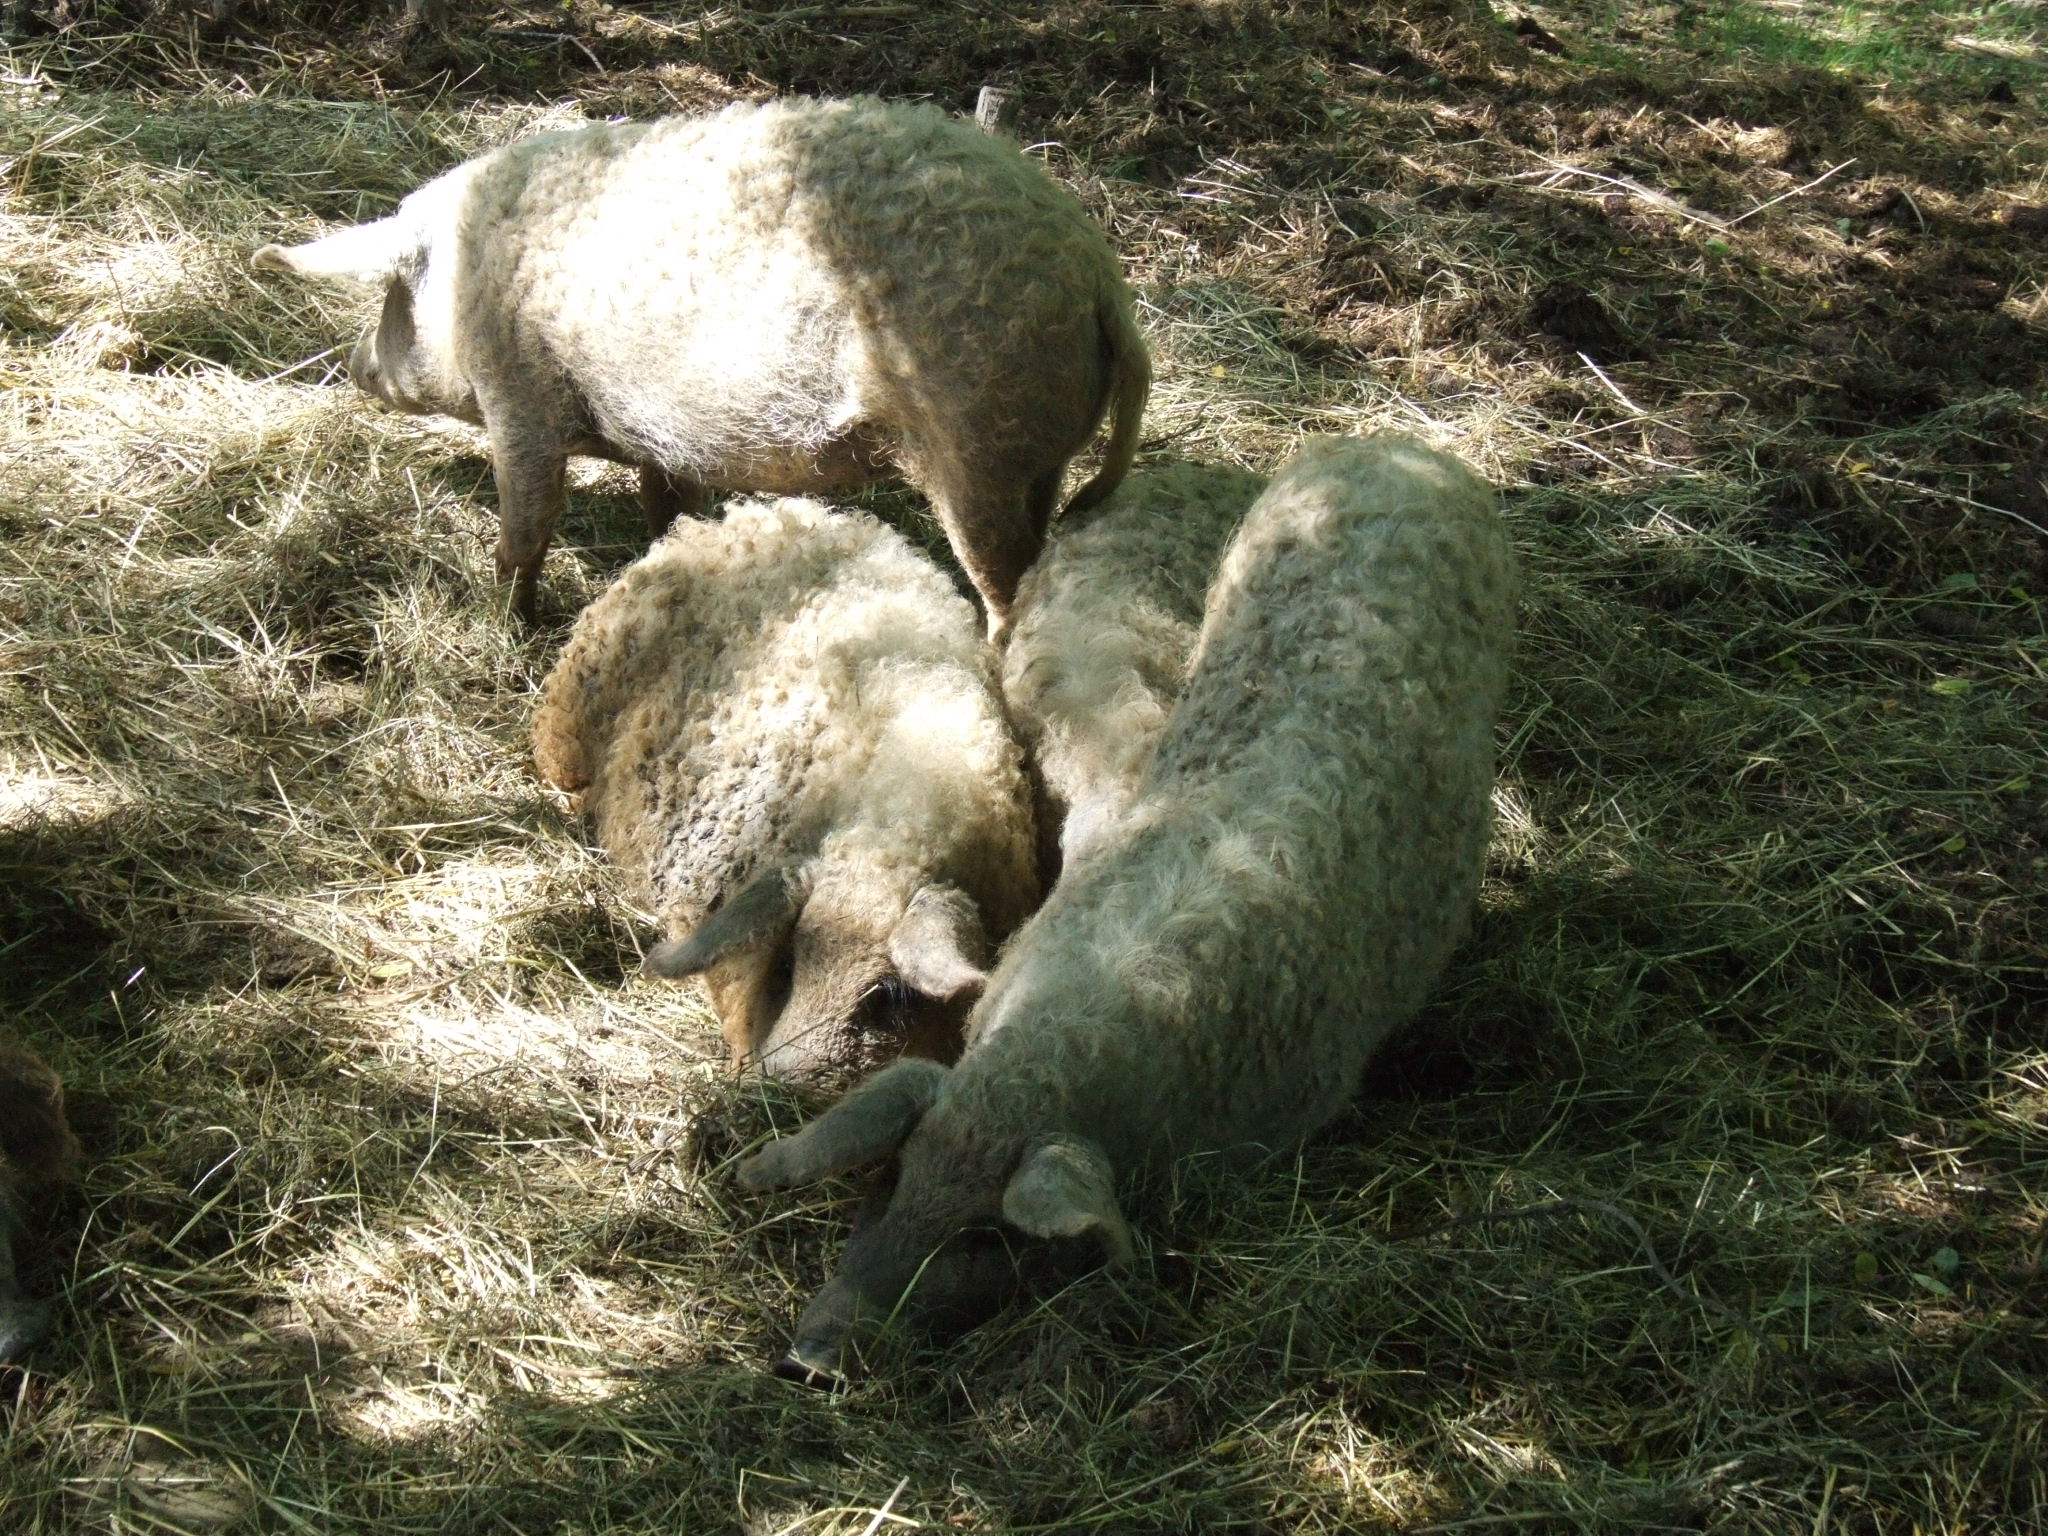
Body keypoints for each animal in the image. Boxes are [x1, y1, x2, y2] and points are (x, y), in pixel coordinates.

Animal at [253, 95, 1150, 631]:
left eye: (392, 293)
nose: (355, 365)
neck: (461, 279)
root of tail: (1098, 273)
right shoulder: (659, 437)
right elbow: (666, 510)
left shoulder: (521, 400)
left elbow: (526, 530)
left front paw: (511, 625)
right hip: (1037, 459)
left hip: (974, 447)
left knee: (1003, 586)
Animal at [531, 495, 1039, 1083]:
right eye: (791, 963)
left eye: (888, 998)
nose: (778, 1085)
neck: (896, 818)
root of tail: (745, 518)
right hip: (563, 728)